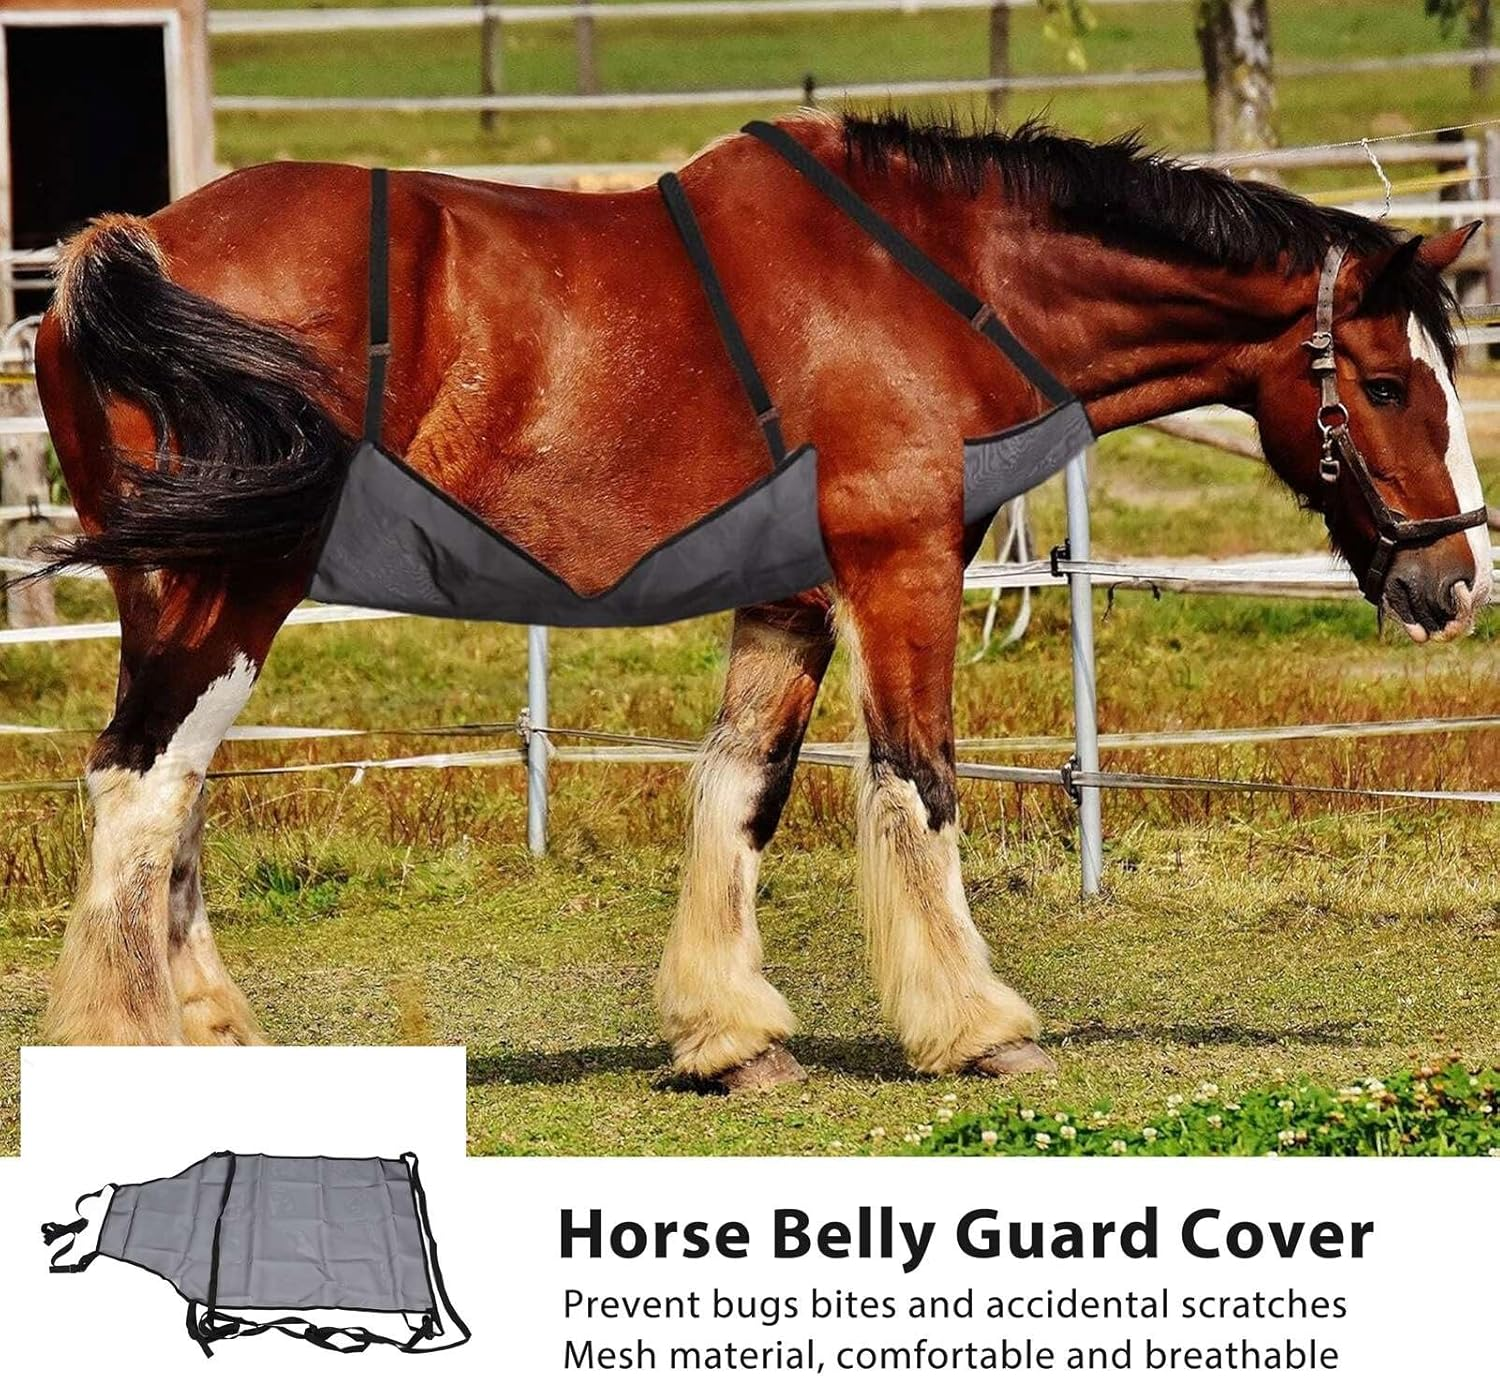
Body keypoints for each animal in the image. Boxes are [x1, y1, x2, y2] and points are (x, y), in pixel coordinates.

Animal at [29, 110, 1489, 1091]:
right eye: (1390, 384)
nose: (1455, 580)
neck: (926, 284)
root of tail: (130, 246)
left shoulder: (793, 593)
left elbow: (743, 785)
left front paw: (727, 1033)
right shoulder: (901, 567)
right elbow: (919, 778)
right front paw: (979, 1025)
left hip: (168, 589)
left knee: (165, 793)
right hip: (235, 585)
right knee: (144, 784)